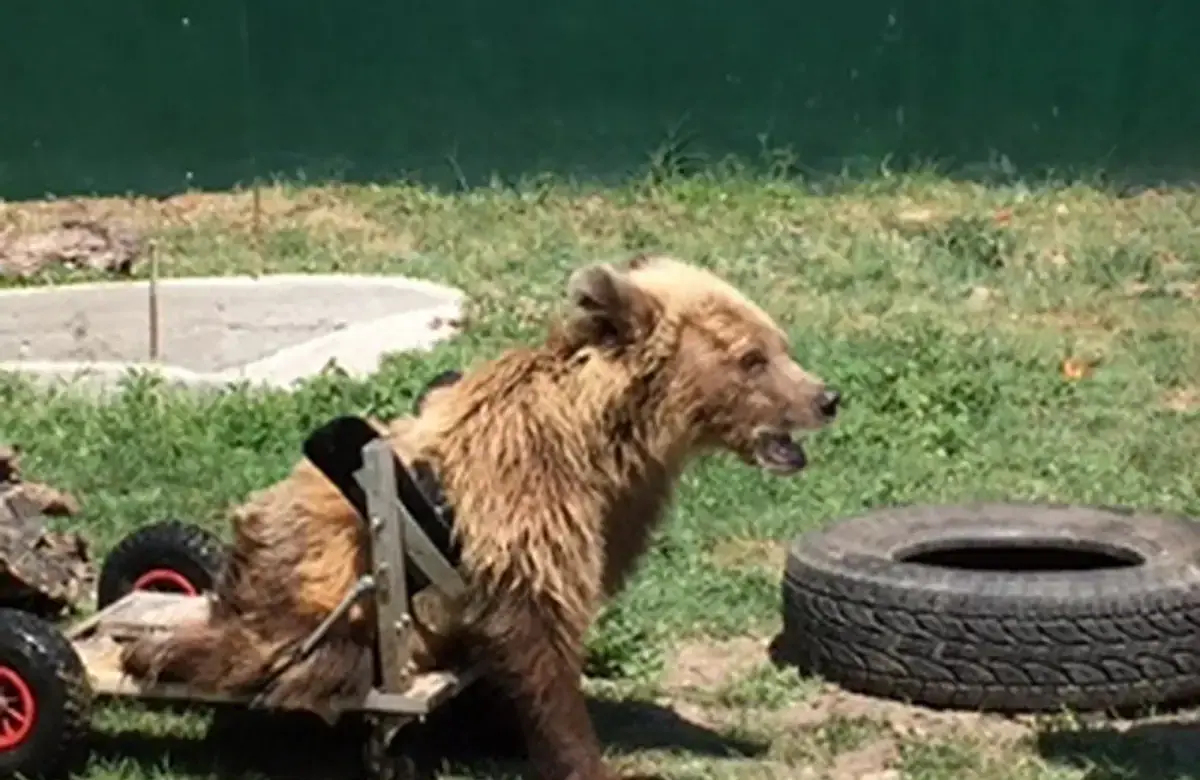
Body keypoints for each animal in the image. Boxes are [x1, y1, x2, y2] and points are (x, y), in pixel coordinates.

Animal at [120, 253, 841, 780]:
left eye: (779, 343)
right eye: (752, 358)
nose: (827, 396)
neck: (610, 442)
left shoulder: (610, 511)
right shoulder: (525, 501)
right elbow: (539, 636)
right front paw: (580, 756)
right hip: (320, 571)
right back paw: (163, 652)